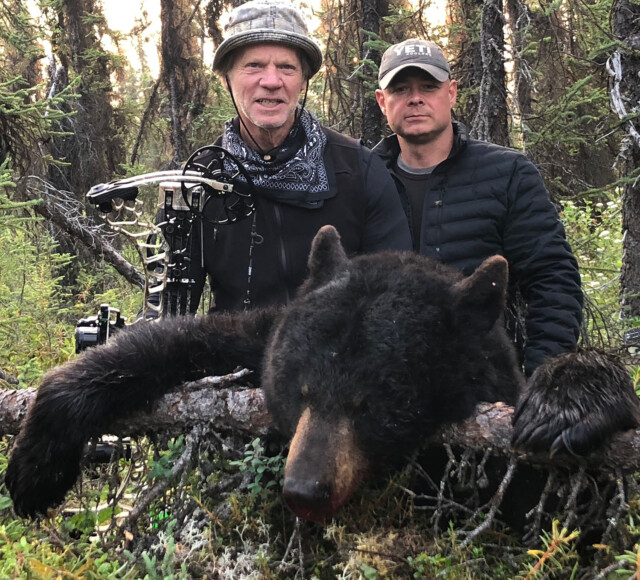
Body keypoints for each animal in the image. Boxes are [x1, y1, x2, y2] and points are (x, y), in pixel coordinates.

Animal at [5, 225, 640, 523]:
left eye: (376, 405)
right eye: (298, 392)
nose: (304, 490)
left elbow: (561, 501)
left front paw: (568, 402)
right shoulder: (264, 334)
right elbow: (179, 341)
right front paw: (35, 469)